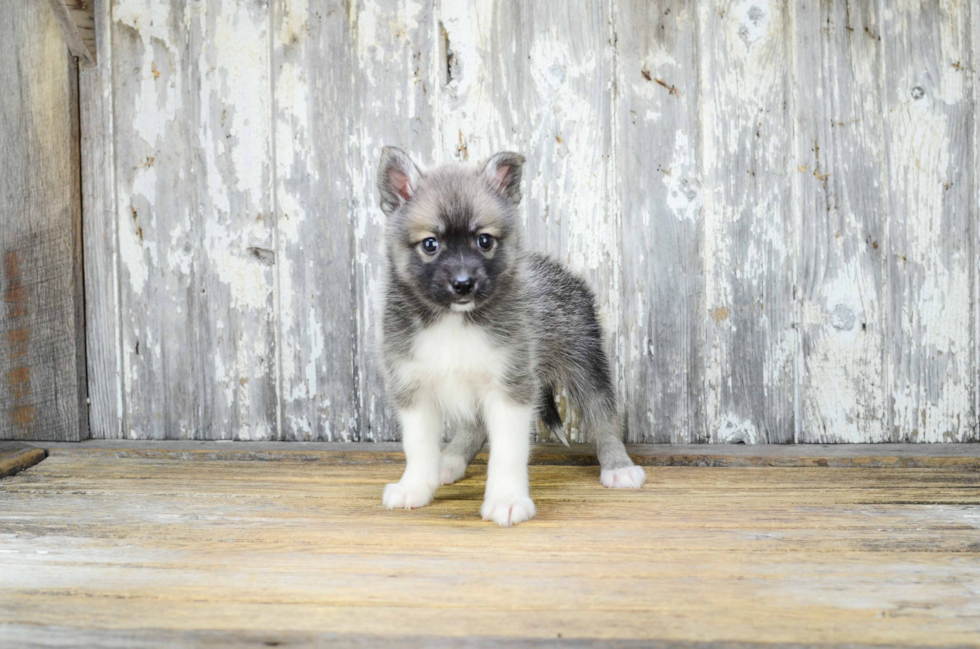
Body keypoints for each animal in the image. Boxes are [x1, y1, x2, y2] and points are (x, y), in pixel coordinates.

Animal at [376, 147, 644, 528]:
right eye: (430, 244)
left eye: (484, 240)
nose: (463, 284)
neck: (454, 320)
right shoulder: (414, 387)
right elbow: (418, 446)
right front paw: (414, 487)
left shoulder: (510, 385)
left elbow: (507, 451)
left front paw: (507, 500)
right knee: (474, 428)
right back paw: (450, 462)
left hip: (585, 360)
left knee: (603, 415)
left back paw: (619, 467)